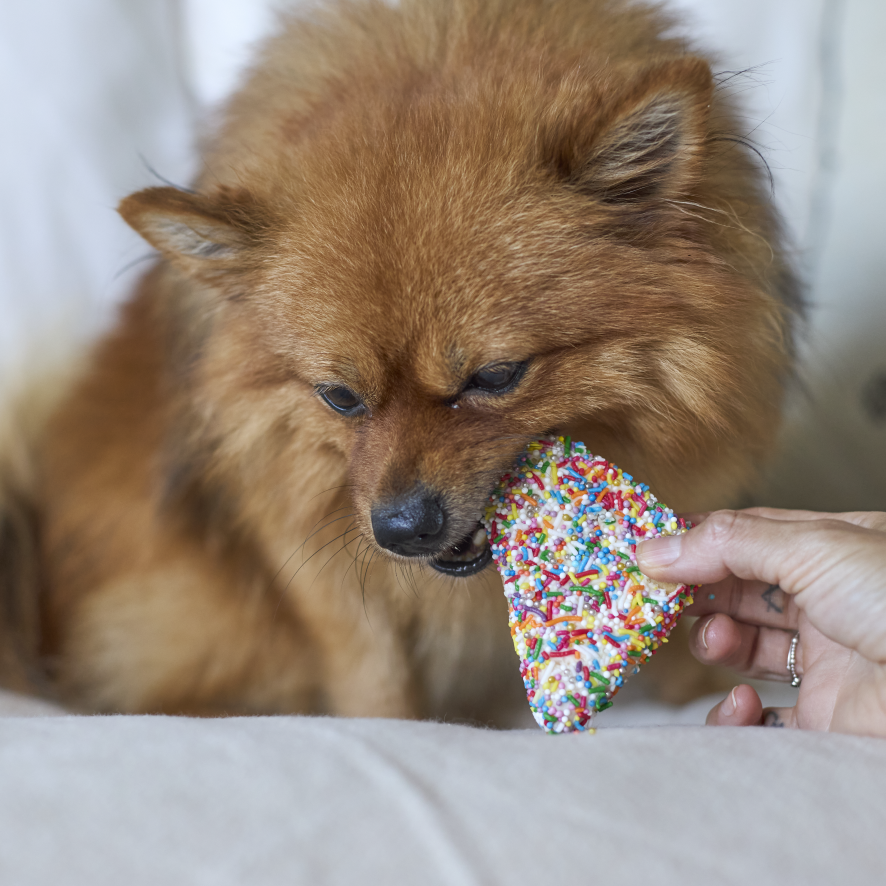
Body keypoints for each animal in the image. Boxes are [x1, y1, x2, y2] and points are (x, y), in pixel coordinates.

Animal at [0, 0, 800, 720]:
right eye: (339, 397)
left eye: (495, 377)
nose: (401, 528)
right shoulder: (308, 539)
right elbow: (372, 669)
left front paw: (701, 687)